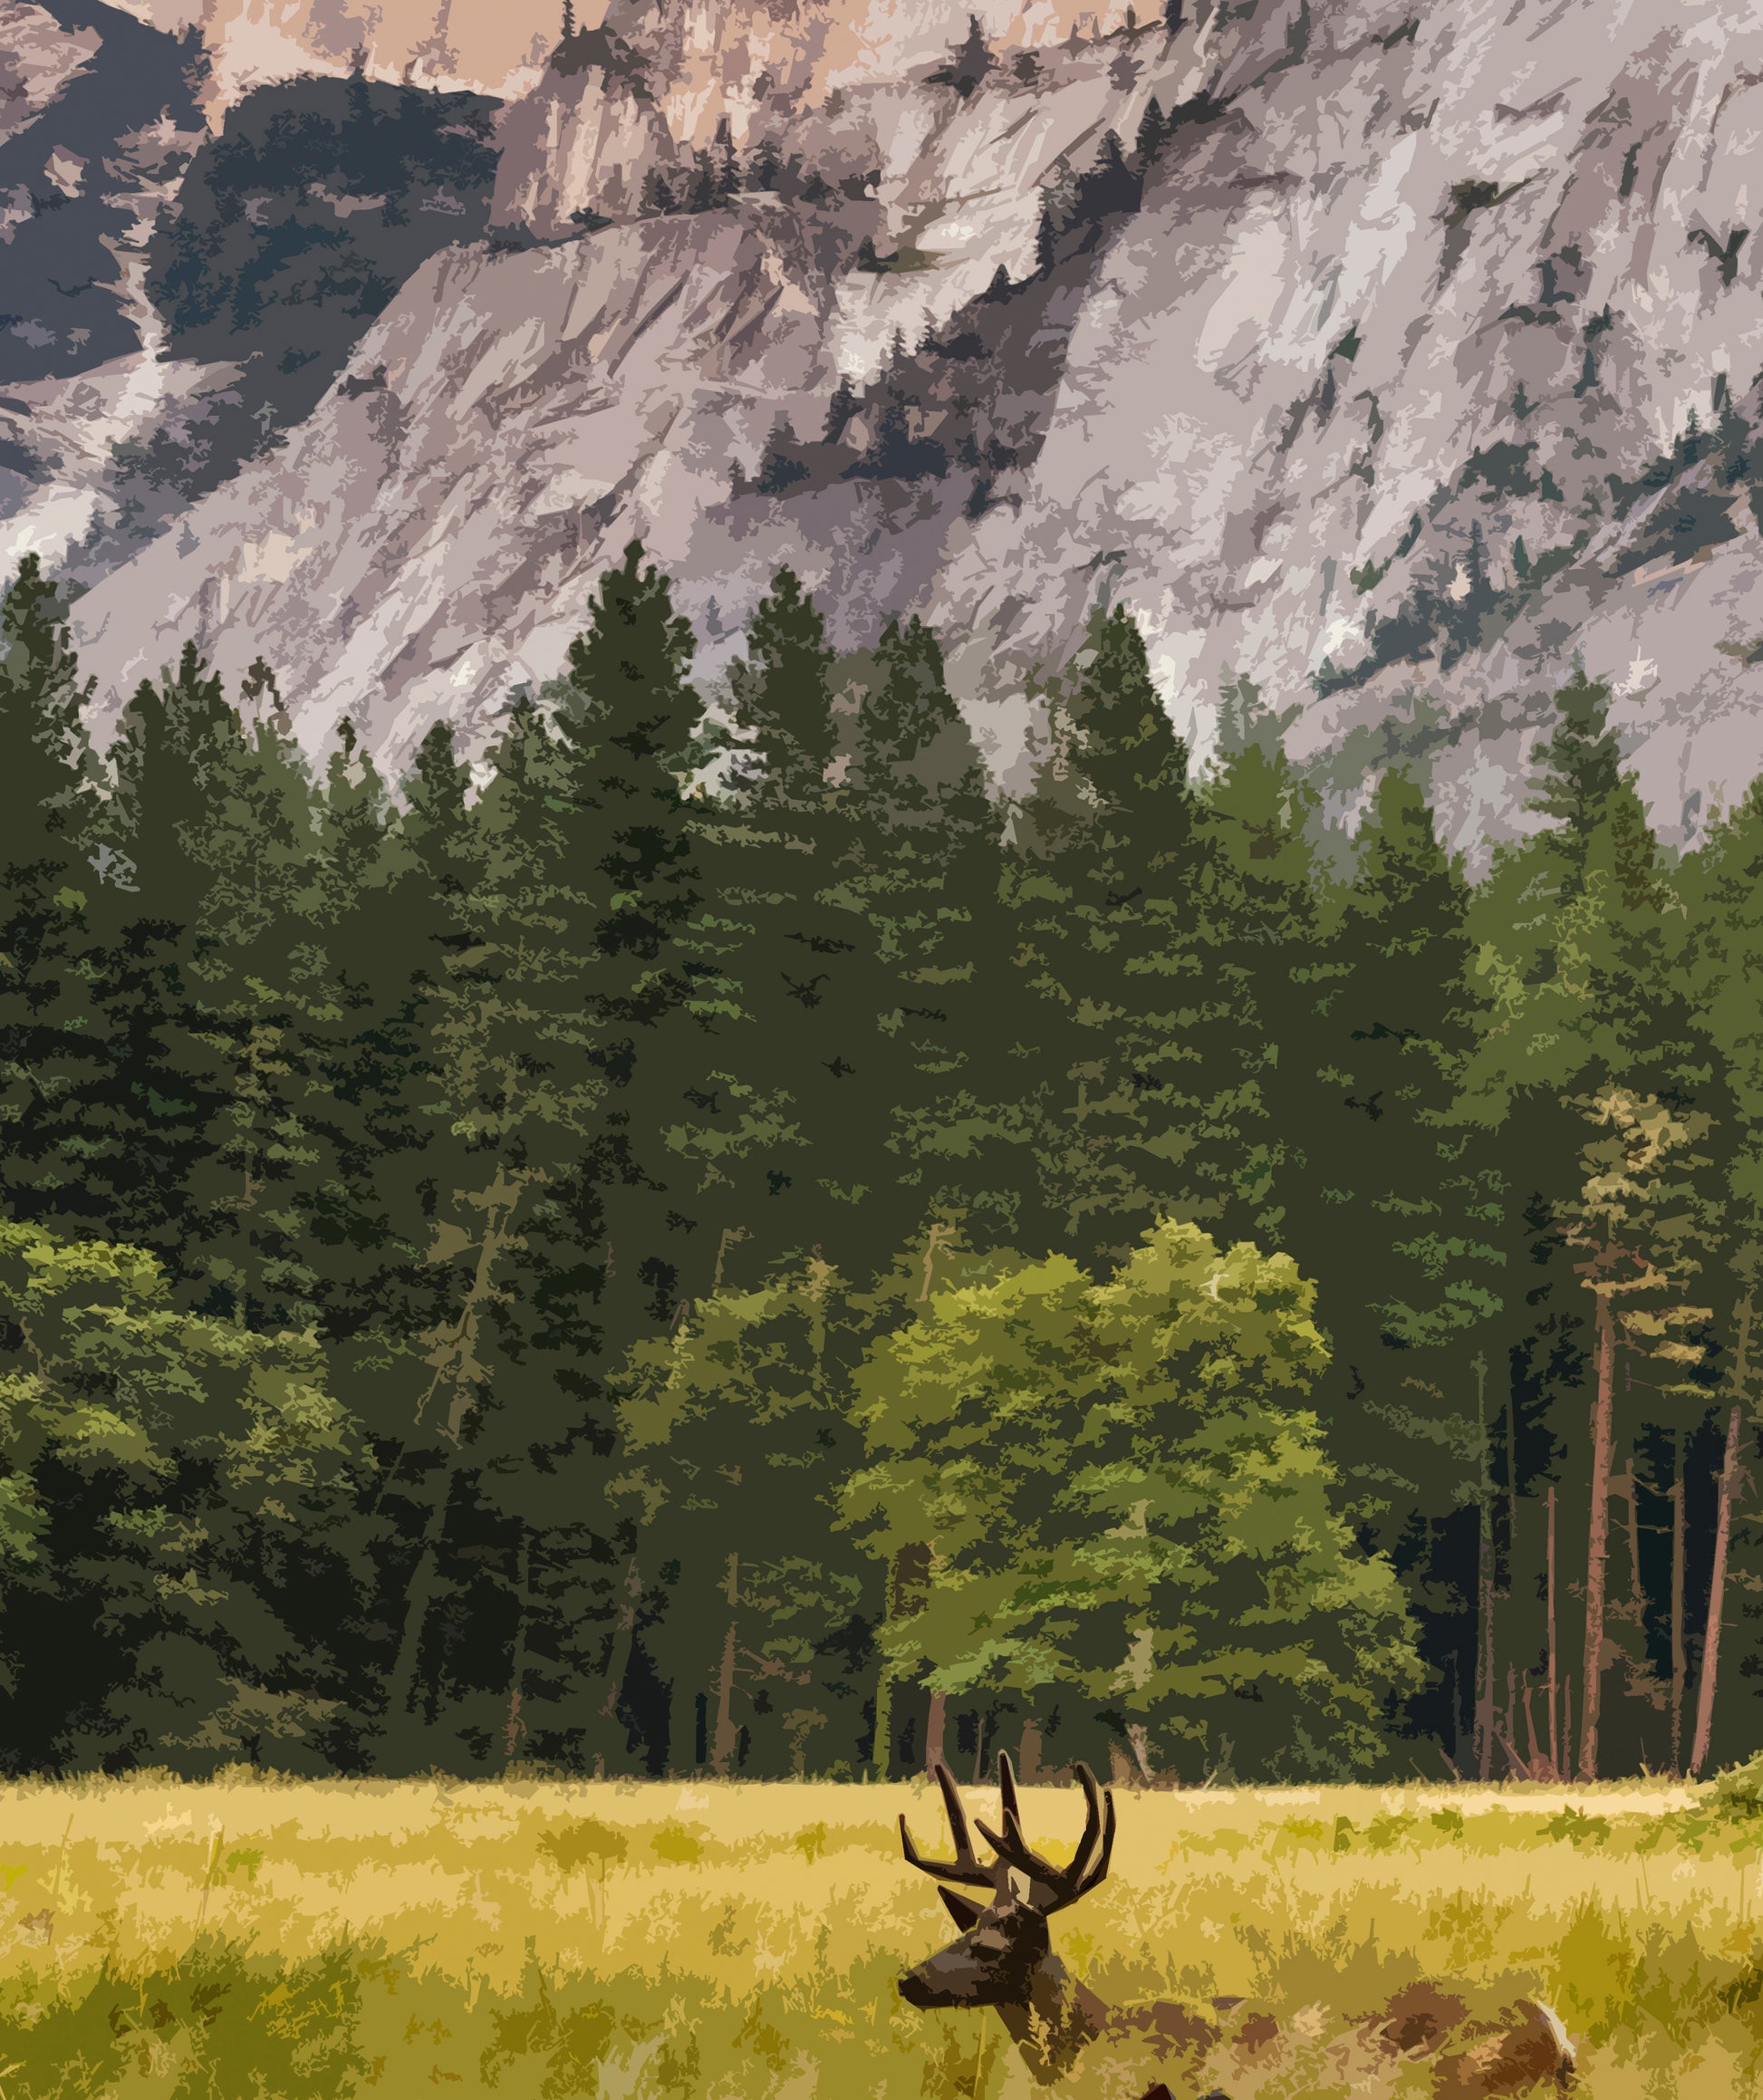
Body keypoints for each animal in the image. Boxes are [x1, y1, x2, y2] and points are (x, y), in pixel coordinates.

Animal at [902, 1755, 1578, 2100]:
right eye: (961, 1931)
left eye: (993, 1945)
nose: (909, 1980)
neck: (1094, 2038)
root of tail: (1553, 2032)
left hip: (1445, 2080)